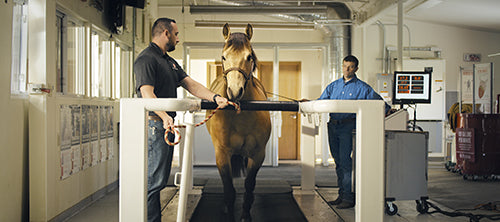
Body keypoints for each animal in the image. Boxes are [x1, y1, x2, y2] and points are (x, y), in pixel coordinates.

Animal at [205, 23, 272, 221]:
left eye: (249, 56)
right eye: (223, 56)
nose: (234, 91)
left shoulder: (257, 155)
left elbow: (249, 185)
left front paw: (245, 214)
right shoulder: (222, 155)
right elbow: (229, 190)